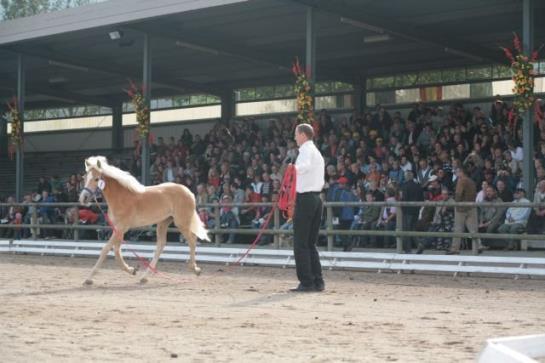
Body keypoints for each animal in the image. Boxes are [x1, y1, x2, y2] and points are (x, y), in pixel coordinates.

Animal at [78, 155, 208, 286]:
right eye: (85, 177)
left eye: (96, 179)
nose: (83, 198)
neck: (121, 197)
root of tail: (188, 191)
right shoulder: (118, 229)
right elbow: (116, 251)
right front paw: (132, 270)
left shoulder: (121, 228)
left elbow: (106, 249)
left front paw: (88, 279)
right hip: (163, 222)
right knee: (161, 245)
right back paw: (144, 277)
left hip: (182, 223)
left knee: (192, 240)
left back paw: (195, 269)